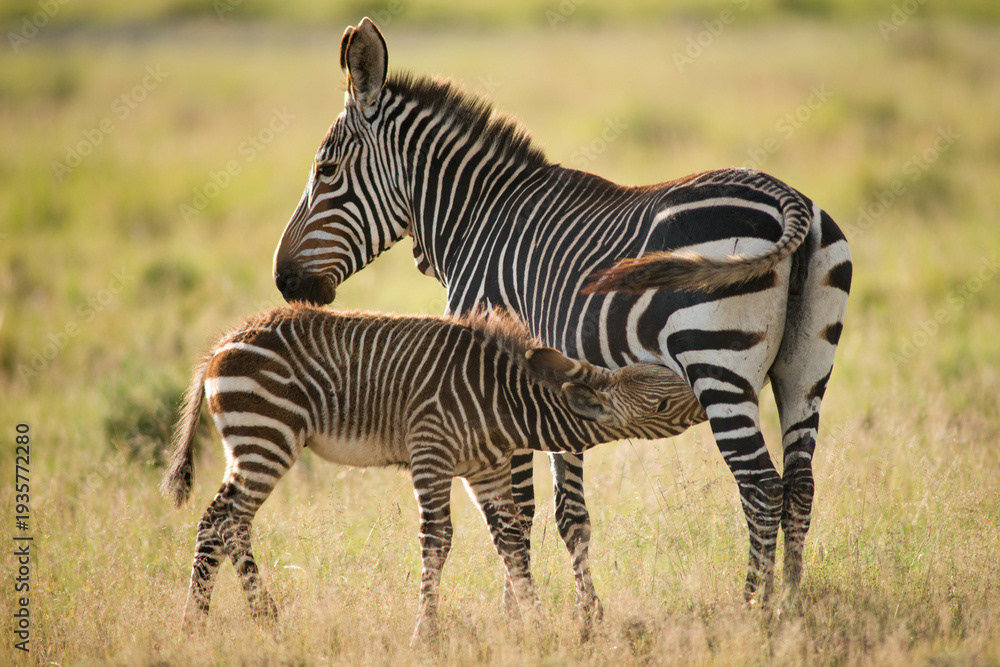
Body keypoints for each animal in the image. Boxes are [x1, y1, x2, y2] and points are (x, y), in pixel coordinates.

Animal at [162, 303, 704, 643]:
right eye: (662, 403)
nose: (706, 397)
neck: (505, 400)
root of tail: (225, 341)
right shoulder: (431, 453)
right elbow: (438, 541)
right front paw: (426, 633)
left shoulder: (486, 470)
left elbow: (511, 542)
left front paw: (536, 624)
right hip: (267, 435)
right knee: (225, 520)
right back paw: (228, 620)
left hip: (255, 442)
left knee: (223, 521)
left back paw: (226, 622)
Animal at [272, 18, 852, 616]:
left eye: (326, 170)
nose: (284, 282)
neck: (475, 218)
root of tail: (786, 197)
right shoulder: (553, 386)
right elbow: (568, 513)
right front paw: (580, 617)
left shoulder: (492, 374)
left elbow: (514, 513)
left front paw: (517, 616)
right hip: (805, 367)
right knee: (800, 485)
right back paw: (791, 607)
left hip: (717, 362)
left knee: (760, 487)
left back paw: (752, 609)